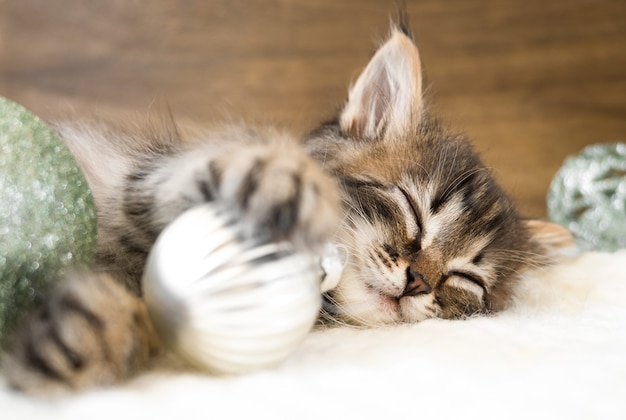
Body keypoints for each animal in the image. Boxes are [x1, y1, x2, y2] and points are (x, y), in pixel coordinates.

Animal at [1, 26, 564, 394]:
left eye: (465, 278)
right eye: (412, 207)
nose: (417, 283)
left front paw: (86, 334)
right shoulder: (139, 177)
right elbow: (193, 175)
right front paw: (275, 180)